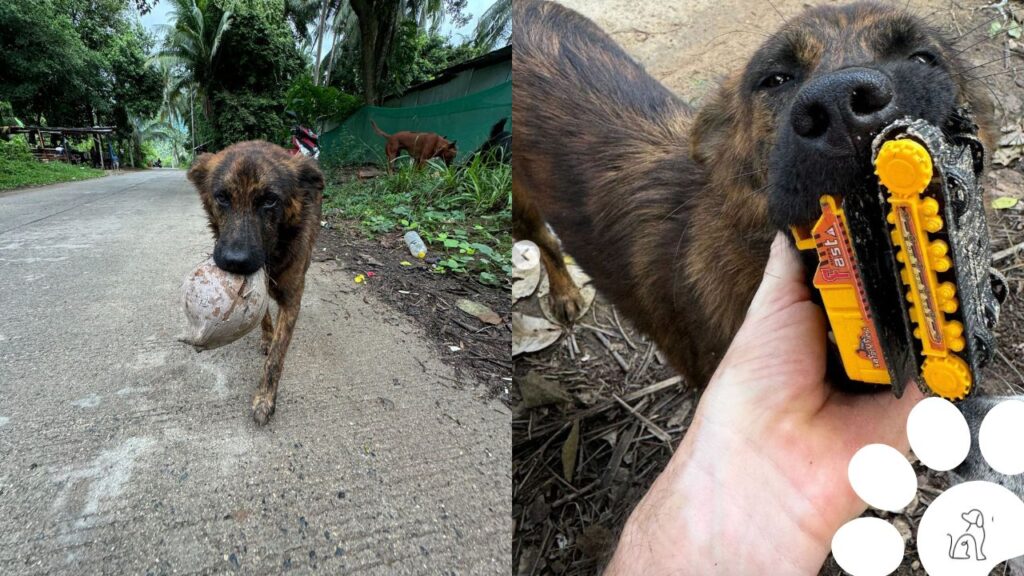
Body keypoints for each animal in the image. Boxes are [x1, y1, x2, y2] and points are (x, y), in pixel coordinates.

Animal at [187, 141, 323, 424]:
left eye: (270, 200)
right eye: (222, 197)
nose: (235, 262)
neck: (272, 255)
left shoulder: (292, 299)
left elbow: (276, 358)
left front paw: (264, 399)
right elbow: (263, 316)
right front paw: (266, 337)